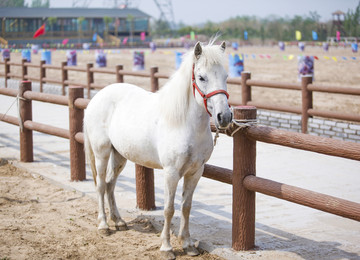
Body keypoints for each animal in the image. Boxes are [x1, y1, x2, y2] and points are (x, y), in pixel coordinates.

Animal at [83, 39, 232, 258]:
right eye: (201, 77)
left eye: (226, 76)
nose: (225, 117)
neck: (183, 123)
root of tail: (96, 98)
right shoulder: (171, 172)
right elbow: (169, 209)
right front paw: (167, 247)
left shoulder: (196, 172)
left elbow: (186, 207)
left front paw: (187, 244)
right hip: (102, 153)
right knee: (101, 185)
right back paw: (103, 225)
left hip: (119, 156)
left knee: (110, 184)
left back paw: (118, 221)